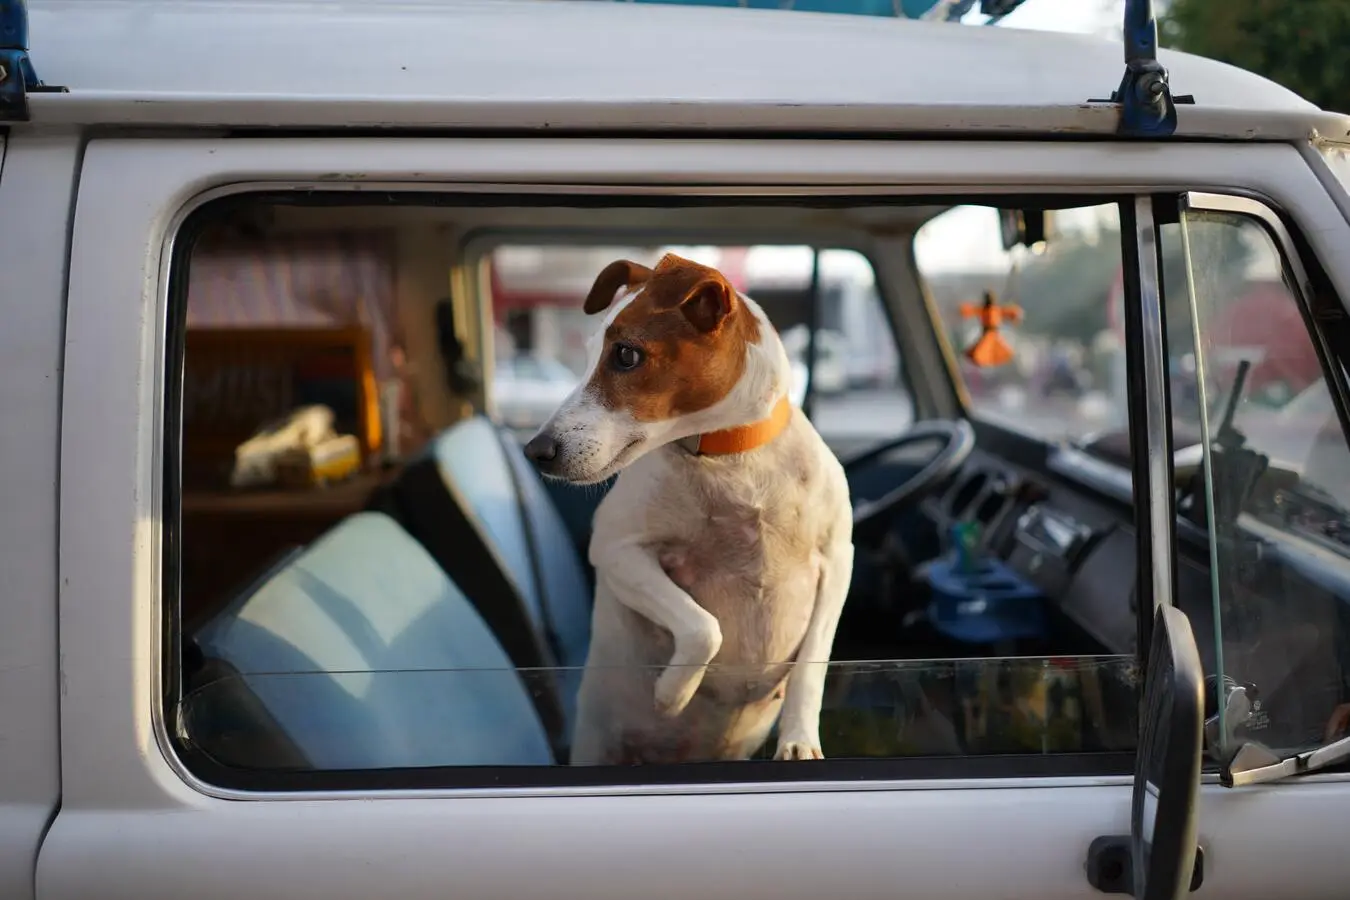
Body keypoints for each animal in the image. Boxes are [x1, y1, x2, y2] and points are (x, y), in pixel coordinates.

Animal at [523, 253, 853, 766]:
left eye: (625, 355)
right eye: (589, 353)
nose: (535, 451)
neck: (730, 459)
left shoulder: (838, 561)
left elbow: (812, 663)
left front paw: (799, 740)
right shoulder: (617, 552)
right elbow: (703, 627)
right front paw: (672, 693)